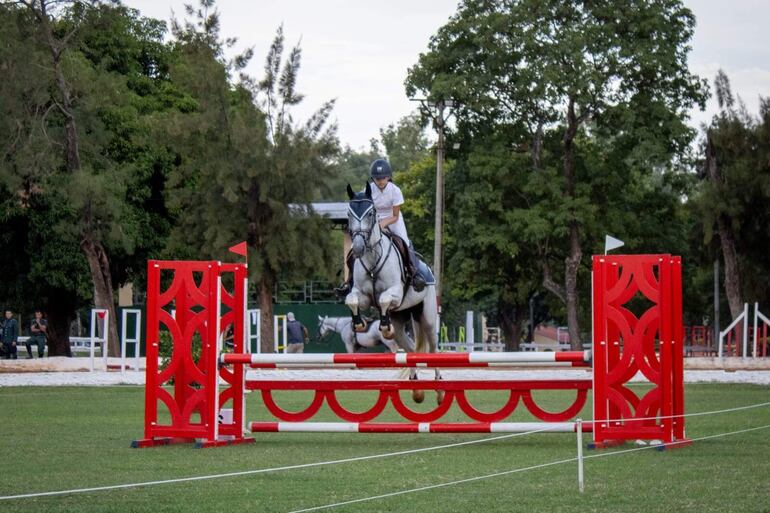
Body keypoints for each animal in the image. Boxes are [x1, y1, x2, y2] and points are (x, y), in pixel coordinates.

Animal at [344, 182, 440, 402]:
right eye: (349, 213)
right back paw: (416, 388)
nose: (358, 248)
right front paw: (359, 324)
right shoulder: (362, 296)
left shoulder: (394, 293)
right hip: (401, 320)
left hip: (428, 318)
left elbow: (384, 299)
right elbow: (352, 300)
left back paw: (440, 388)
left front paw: (383, 326)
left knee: (433, 349)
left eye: (371, 213)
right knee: (410, 349)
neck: (372, 259)